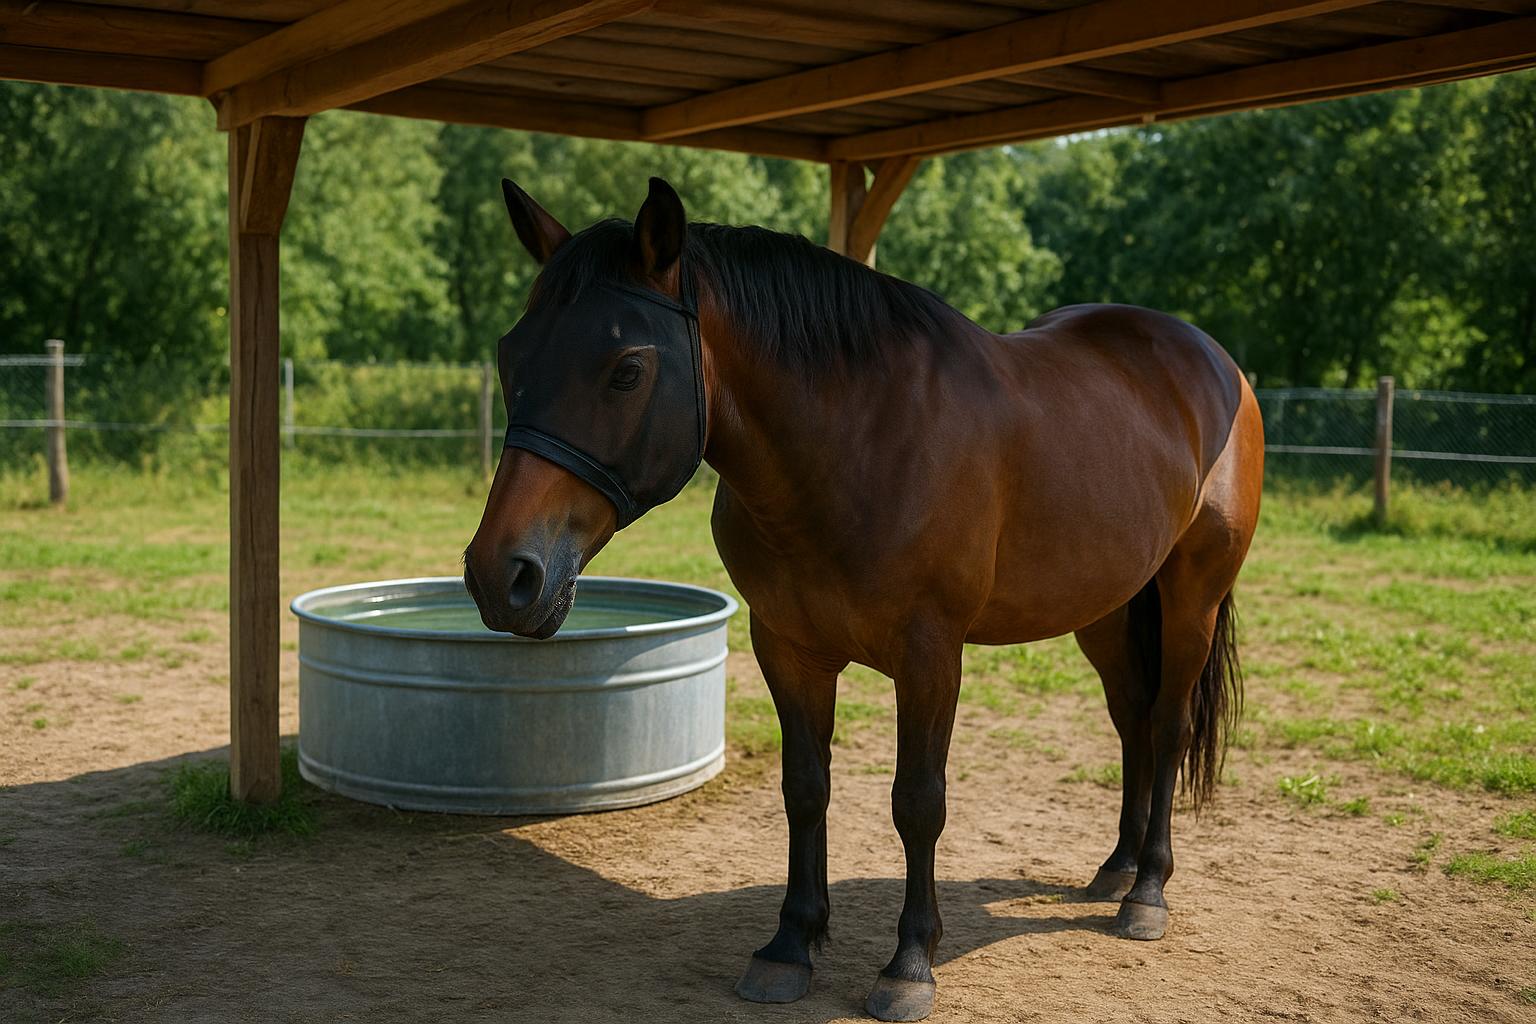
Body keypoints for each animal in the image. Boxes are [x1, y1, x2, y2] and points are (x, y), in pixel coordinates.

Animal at [464, 176, 1264, 1022]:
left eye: (627, 368)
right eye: (512, 352)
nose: (500, 574)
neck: (857, 440)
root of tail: (1215, 365)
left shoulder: (931, 656)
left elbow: (917, 802)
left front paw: (910, 961)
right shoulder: (788, 647)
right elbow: (805, 788)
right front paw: (790, 944)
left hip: (1192, 598)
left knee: (1168, 725)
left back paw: (1148, 891)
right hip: (1107, 610)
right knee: (1133, 720)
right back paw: (1116, 867)